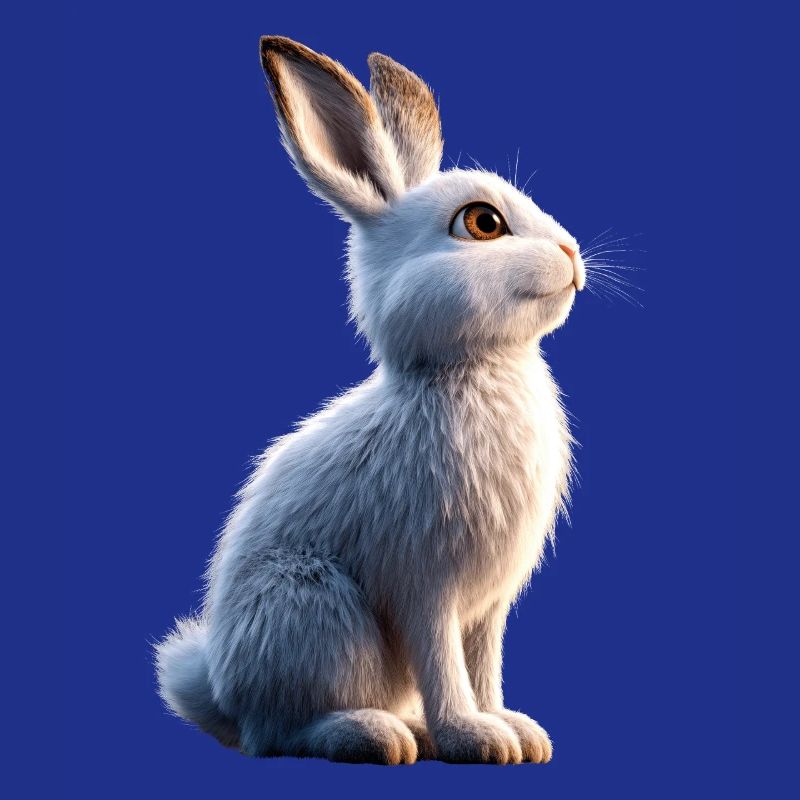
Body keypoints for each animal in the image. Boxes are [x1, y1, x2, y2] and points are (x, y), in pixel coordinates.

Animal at [155, 35, 586, 765]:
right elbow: (444, 665)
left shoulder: (488, 607)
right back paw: (376, 735)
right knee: (280, 733)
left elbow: (483, 666)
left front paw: (516, 732)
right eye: (482, 222)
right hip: (319, 611)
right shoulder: (426, 585)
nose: (573, 254)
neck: (469, 369)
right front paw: (474, 738)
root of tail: (222, 693)